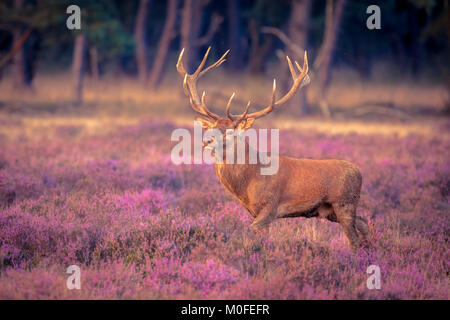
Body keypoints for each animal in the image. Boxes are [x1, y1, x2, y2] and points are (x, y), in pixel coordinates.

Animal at [176, 47, 370, 250]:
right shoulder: (254, 211)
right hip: (331, 210)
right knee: (364, 223)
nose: (207, 141)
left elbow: (251, 231)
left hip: (344, 202)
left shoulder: (270, 206)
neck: (250, 180)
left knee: (354, 238)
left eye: (229, 131)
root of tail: (359, 171)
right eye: (212, 127)